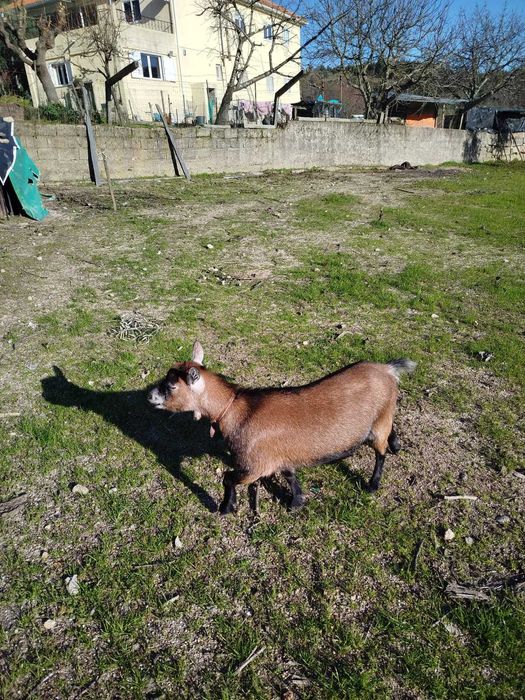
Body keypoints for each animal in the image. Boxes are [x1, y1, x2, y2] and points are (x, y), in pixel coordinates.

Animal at [148, 341, 415, 514]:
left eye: (171, 385)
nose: (150, 396)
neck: (237, 411)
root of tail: (388, 369)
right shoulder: (279, 456)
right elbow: (289, 474)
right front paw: (296, 502)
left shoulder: (255, 466)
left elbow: (227, 478)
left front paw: (225, 507)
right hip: (383, 414)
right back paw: (396, 444)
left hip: (379, 423)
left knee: (379, 452)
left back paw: (373, 484)